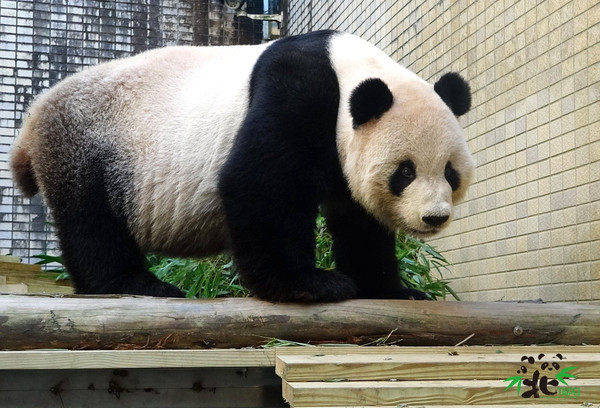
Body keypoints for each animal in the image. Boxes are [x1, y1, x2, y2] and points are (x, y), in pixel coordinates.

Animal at [10, 30, 474, 302]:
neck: (350, 70)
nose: (433, 218)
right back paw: (135, 284)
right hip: (88, 143)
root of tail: (34, 114)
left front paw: (394, 290)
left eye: (450, 173)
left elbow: (359, 220)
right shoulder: (297, 88)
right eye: (405, 171)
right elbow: (262, 184)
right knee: (92, 222)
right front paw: (313, 284)